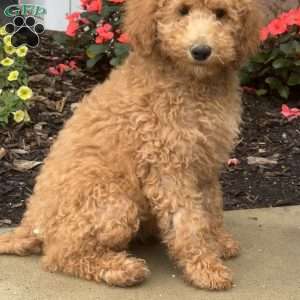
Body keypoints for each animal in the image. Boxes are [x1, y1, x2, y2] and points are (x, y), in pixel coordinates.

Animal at [0, 0, 262, 290]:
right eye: (182, 11)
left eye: (221, 14)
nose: (201, 51)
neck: (193, 84)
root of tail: (30, 222)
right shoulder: (168, 166)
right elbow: (187, 221)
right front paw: (205, 268)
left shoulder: (206, 162)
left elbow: (211, 206)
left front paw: (218, 242)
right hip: (112, 203)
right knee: (60, 255)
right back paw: (122, 269)